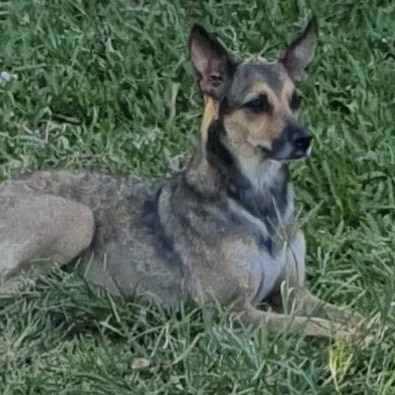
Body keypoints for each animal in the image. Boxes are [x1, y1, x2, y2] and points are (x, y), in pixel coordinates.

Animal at [0, 18, 366, 340]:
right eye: (257, 104)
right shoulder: (232, 311)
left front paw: (368, 327)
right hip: (80, 218)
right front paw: (358, 341)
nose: (305, 139)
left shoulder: (296, 293)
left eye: (296, 100)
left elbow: (355, 316)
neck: (259, 201)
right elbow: (314, 325)